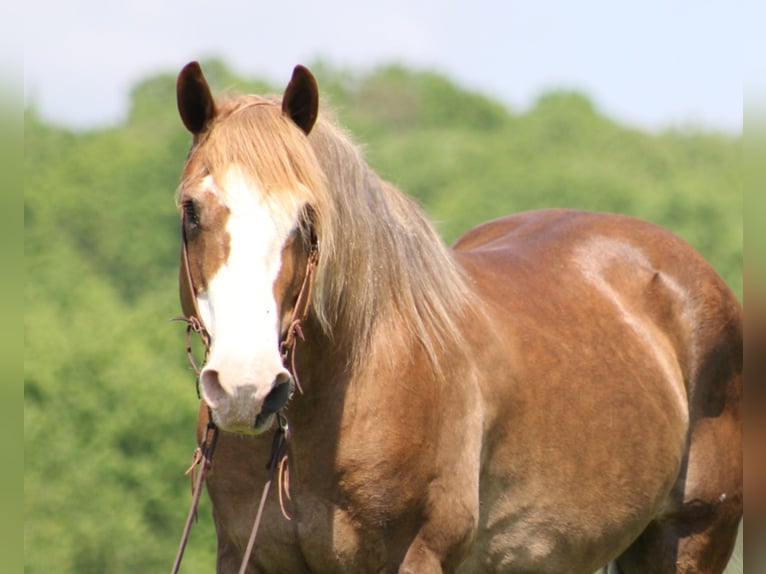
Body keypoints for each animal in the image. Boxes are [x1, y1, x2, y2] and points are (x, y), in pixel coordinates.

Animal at [174, 60, 744, 572]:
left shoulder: (419, 554)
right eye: (190, 211)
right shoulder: (249, 556)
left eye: (308, 218)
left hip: (689, 539)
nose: (247, 388)